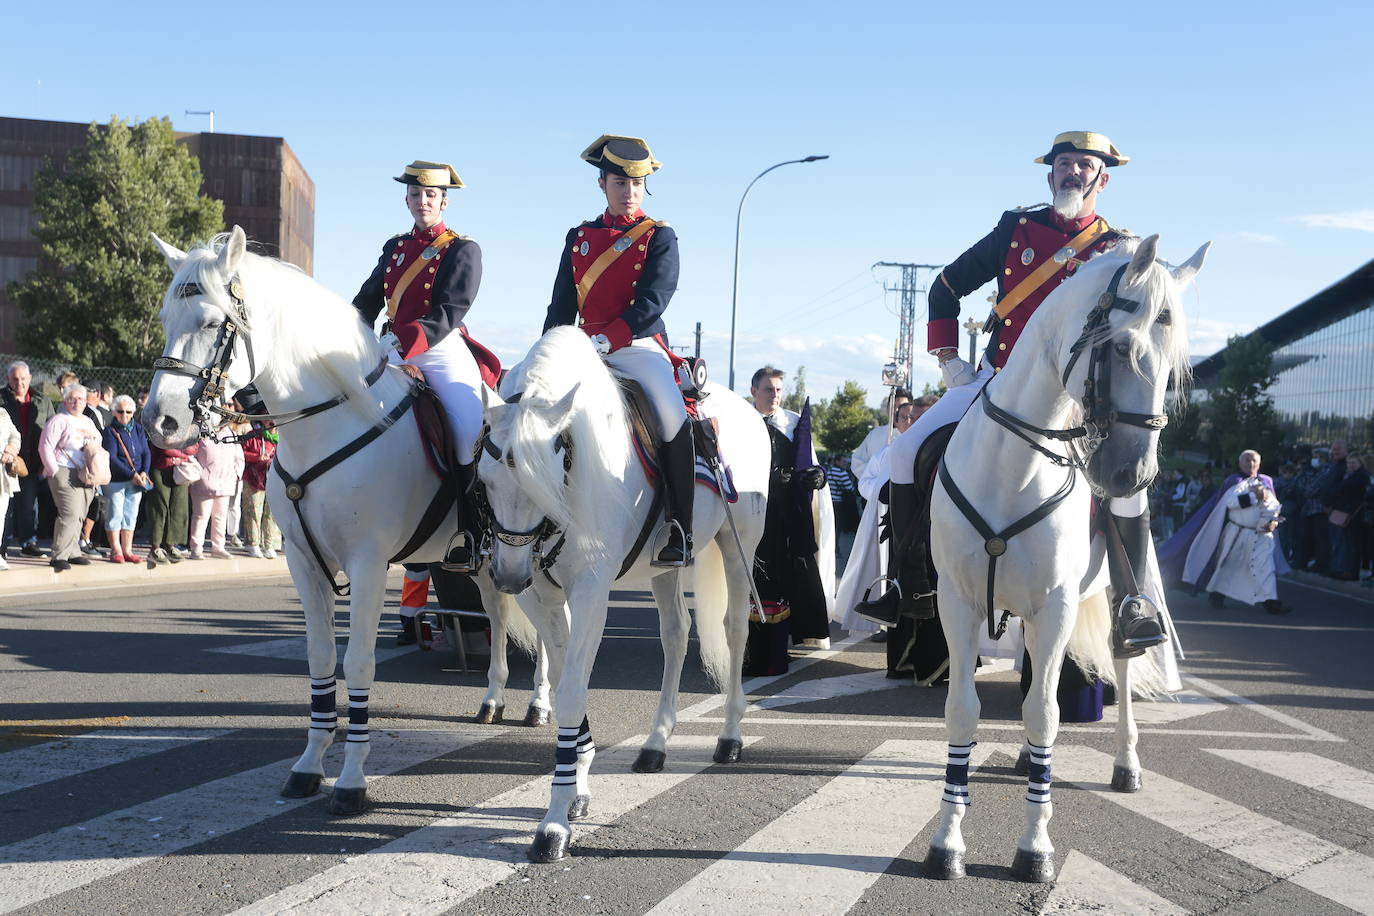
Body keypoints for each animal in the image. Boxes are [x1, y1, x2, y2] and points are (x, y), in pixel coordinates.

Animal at [140, 229, 546, 818]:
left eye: (215, 323)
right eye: (167, 317)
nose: (161, 422)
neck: (328, 424)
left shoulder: (369, 564)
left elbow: (357, 664)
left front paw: (352, 779)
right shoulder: (304, 562)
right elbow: (319, 660)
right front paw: (309, 765)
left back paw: (540, 702)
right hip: (483, 561)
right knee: (495, 614)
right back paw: (493, 698)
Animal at [475, 325, 774, 862]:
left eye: (540, 481)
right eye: (486, 480)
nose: (507, 577)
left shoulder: (592, 591)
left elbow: (573, 690)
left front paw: (553, 824)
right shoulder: (541, 595)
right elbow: (567, 682)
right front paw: (577, 788)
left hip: (739, 543)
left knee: (735, 631)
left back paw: (730, 735)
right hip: (664, 567)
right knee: (676, 633)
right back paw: (656, 742)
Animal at [923, 234, 1203, 878]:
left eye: (1174, 368)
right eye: (1122, 347)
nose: (1132, 475)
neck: (1014, 469)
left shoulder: (1055, 606)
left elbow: (1045, 714)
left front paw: (1035, 847)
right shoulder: (959, 602)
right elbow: (963, 711)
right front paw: (947, 841)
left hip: (1108, 594)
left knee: (1119, 664)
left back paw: (1126, 764)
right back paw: (1031, 761)